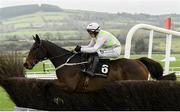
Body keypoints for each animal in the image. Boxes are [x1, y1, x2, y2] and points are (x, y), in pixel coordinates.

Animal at [23, 34, 176, 91]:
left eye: (35, 48)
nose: (26, 64)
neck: (66, 62)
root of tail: (138, 61)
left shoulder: (69, 85)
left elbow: (48, 84)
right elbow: (47, 82)